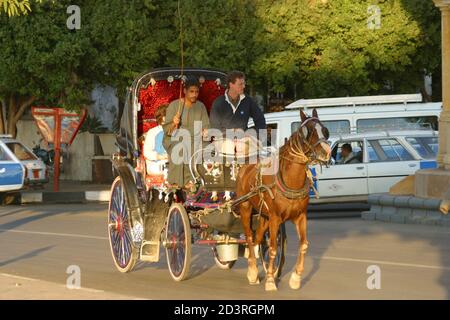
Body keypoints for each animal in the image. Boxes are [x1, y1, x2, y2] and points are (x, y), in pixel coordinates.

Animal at [236, 109, 330, 292]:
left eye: (325, 130)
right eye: (308, 132)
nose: (327, 152)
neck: (290, 179)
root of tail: (245, 166)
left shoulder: (300, 216)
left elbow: (303, 245)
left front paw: (296, 278)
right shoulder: (275, 218)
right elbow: (273, 249)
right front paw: (270, 281)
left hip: (264, 216)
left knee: (258, 238)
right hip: (245, 208)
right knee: (250, 238)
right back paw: (253, 271)